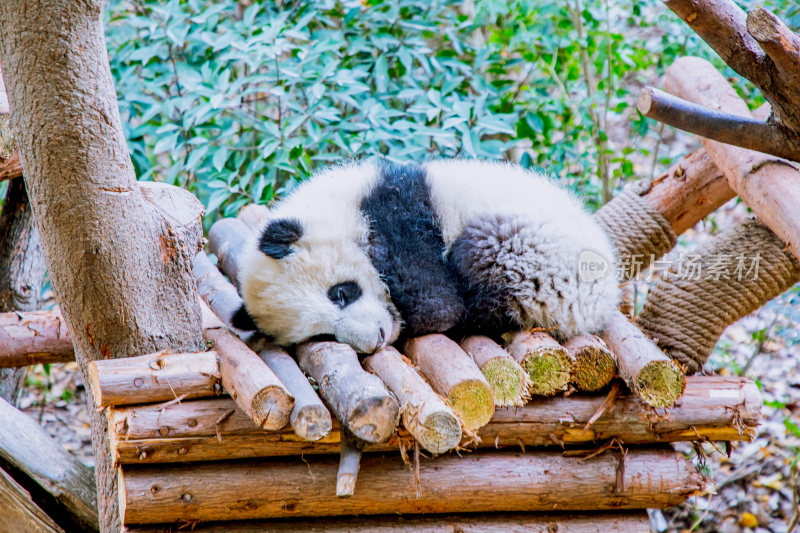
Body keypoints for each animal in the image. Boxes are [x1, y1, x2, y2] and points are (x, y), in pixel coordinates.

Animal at [231, 160, 620, 356]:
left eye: (340, 293)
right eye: (322, 335)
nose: (376, 339)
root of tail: (602, 304)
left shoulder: (401, 209)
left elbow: (436, 304)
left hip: (538, 257)